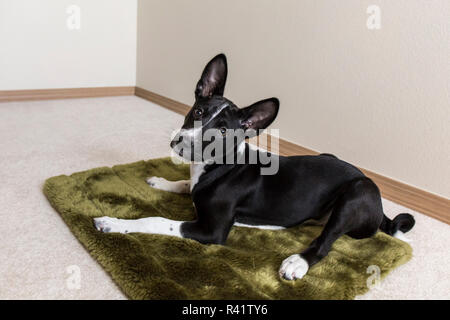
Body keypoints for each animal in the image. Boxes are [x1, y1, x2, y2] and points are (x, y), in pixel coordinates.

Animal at [95, 54, 414, 280]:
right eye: (198, 111)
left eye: (224, 131)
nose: (181, 143)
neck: (218, 165)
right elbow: (186, 184)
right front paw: (162, 181)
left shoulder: (212, 231)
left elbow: (157, 220)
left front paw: (114, 223)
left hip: (356, 193)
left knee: (326, 241)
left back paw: (298, 263)